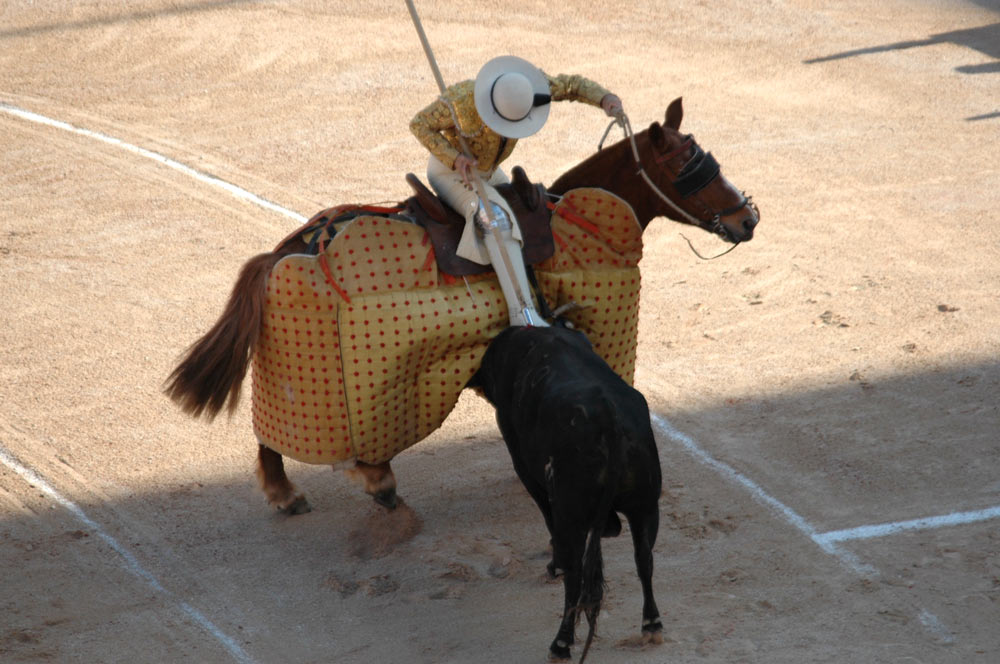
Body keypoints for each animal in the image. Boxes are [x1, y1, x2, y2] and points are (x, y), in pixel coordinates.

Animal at [164, 98, 756, 512]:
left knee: (269, 427)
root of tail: (283, 250)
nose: (747, 218)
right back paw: (337, 487)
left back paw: (307, 489)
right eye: (688, 171)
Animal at [470, 328, 664, 664]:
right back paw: (651, 625)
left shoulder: (523, 464)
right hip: (646, 507)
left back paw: (560, 644)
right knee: (644, 558)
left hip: (571, 513)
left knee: (574, 576)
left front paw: (553, 565)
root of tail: (608, 421)